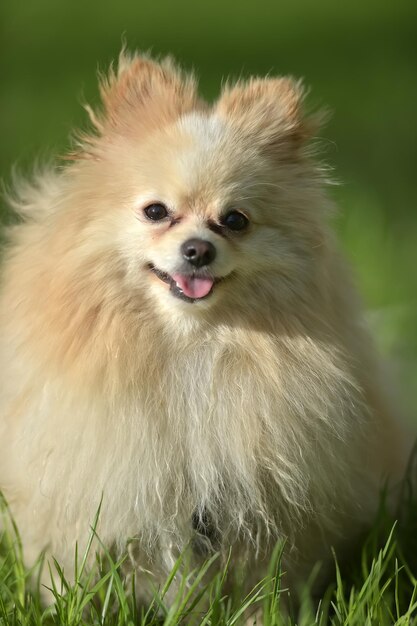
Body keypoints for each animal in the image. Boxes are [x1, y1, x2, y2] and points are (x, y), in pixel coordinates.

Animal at [0, 52, 410, 604]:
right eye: (156, 211)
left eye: (235, 221)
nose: (198, 249)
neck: (190, 346)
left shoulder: (261, 505)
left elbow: (268, 581)